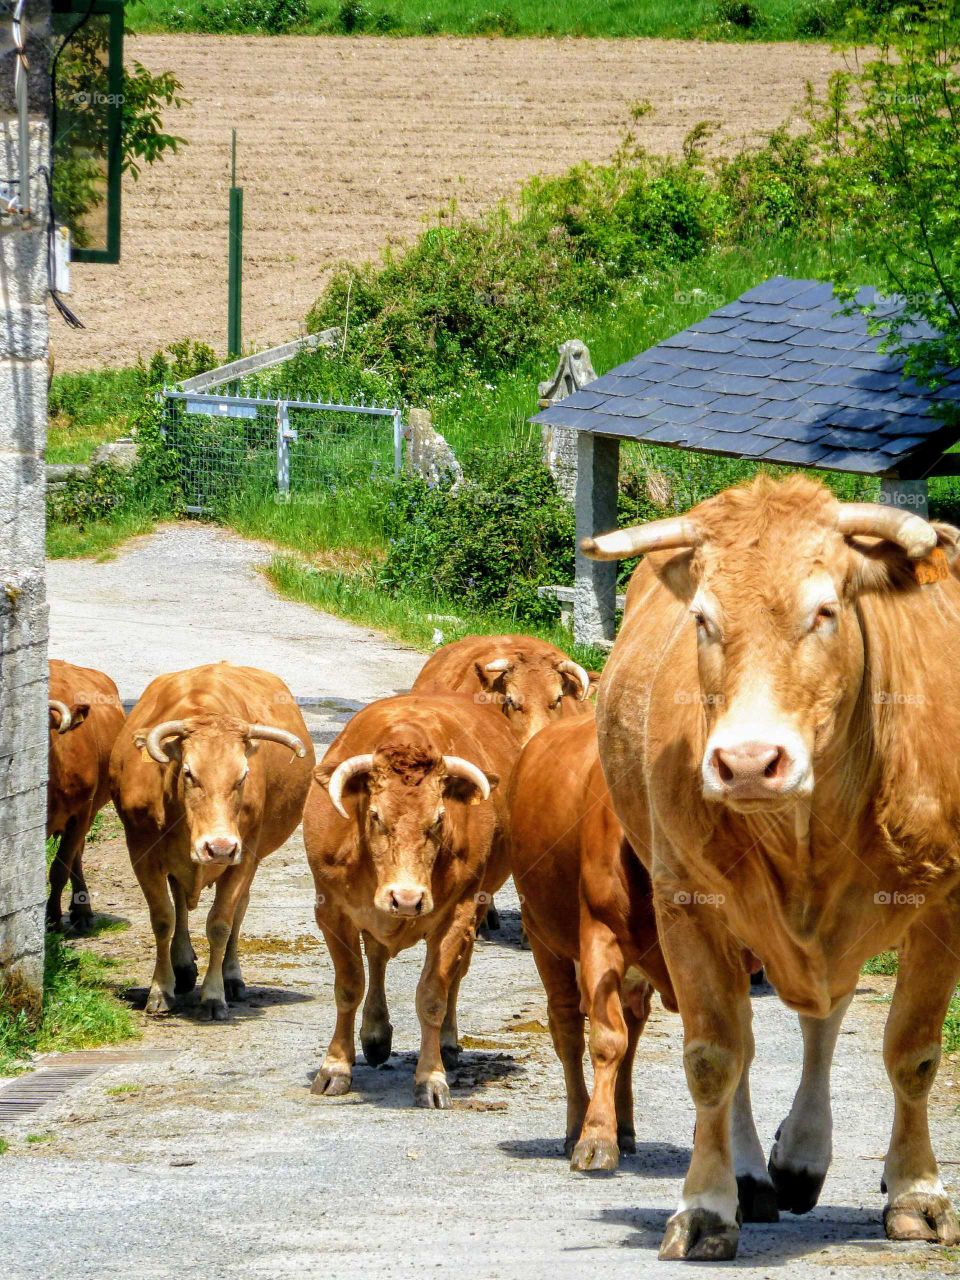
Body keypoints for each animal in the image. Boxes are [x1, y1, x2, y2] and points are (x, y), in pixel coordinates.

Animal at [110, 662, 313, 1021]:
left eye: (243, 775)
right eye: (189, 773)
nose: (218, 847)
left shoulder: (244, 855)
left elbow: (220, 923)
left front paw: (214, 995)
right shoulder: (142, 852)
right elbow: (163, 918)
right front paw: (160, 990)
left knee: (238, 910)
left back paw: (231, 978)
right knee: (180, 902)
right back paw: (182, 967)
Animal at [303, 693, 518, 1108]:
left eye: (438, 819)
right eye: (374, 815)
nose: (406, 898)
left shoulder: (459, 913)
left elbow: (433, 995)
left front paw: (431, 1078)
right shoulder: (332, 910)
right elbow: (349, 986)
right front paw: (335, 1067)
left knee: (453, 978)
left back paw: (446, 1043)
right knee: (377, 958)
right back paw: (374, 1035)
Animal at [510, 710, 678, 1173]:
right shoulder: (599, 937)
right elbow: (605, 1040)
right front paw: (596, 1137)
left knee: (632, 1033)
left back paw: (626, 1125)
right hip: (544, 938)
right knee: (568, 1027)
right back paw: (576, 1125)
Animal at [584, 473, 960, 1260]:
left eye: (825, 611)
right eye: (702, 618)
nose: (750, 761)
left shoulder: (945, 903)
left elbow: (912, 1052)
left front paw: (917, 1191)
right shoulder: (686, 902)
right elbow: (715, 1056)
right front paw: (707, 1206)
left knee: (826, 1014)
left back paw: (806, 1155)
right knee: (757, 1040)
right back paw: (759, 1173)